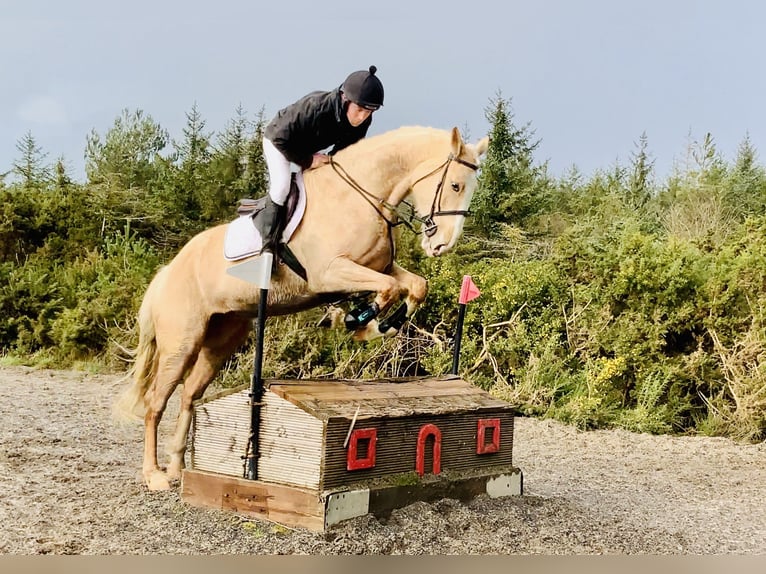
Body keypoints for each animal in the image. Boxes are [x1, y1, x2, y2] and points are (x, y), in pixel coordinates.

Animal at [113, 125, 489, 490]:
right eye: (455, 184)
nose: (441, 245)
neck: (362, 195)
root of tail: (167, 271)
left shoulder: (378, 267)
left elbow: (414, 286)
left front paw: (379, 324)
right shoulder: (328, 273)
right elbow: (389, 288)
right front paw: (358, 321)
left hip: (221, 339)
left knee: (189, 395)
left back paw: (178, 467)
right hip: (182, 342)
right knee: (156, 403)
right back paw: (154, 475)